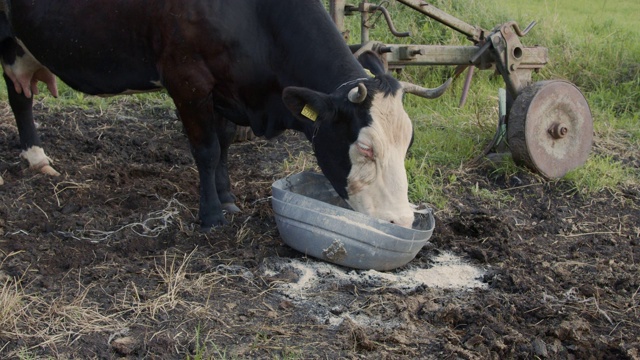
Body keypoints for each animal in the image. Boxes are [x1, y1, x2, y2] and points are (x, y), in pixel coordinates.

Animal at [0, 0, 450, 229]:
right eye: (367, 149)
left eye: (408, 144)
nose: (401, 220)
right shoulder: (186, 78)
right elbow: (206, 149)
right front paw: (212, 215)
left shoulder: (228, 89)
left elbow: (226, 143)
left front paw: (228, 197)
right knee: (19, 98)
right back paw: (35, 157)